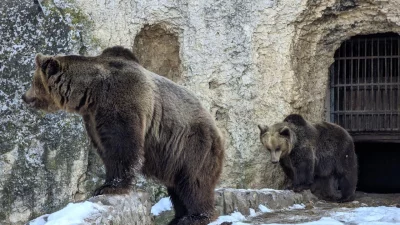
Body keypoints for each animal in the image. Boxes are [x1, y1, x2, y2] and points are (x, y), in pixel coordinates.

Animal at [21, 46, 225, 225]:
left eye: (32, 81)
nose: (24, 97)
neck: (90, 93)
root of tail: (218, 131)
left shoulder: (121, 99)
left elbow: (122, 145)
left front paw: (109, 186)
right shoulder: (93, 118)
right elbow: (106, 149)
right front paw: (106, 183)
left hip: (193, 146)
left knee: (193, 182)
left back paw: (195, 217)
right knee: (177, 187)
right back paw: (178, 217)